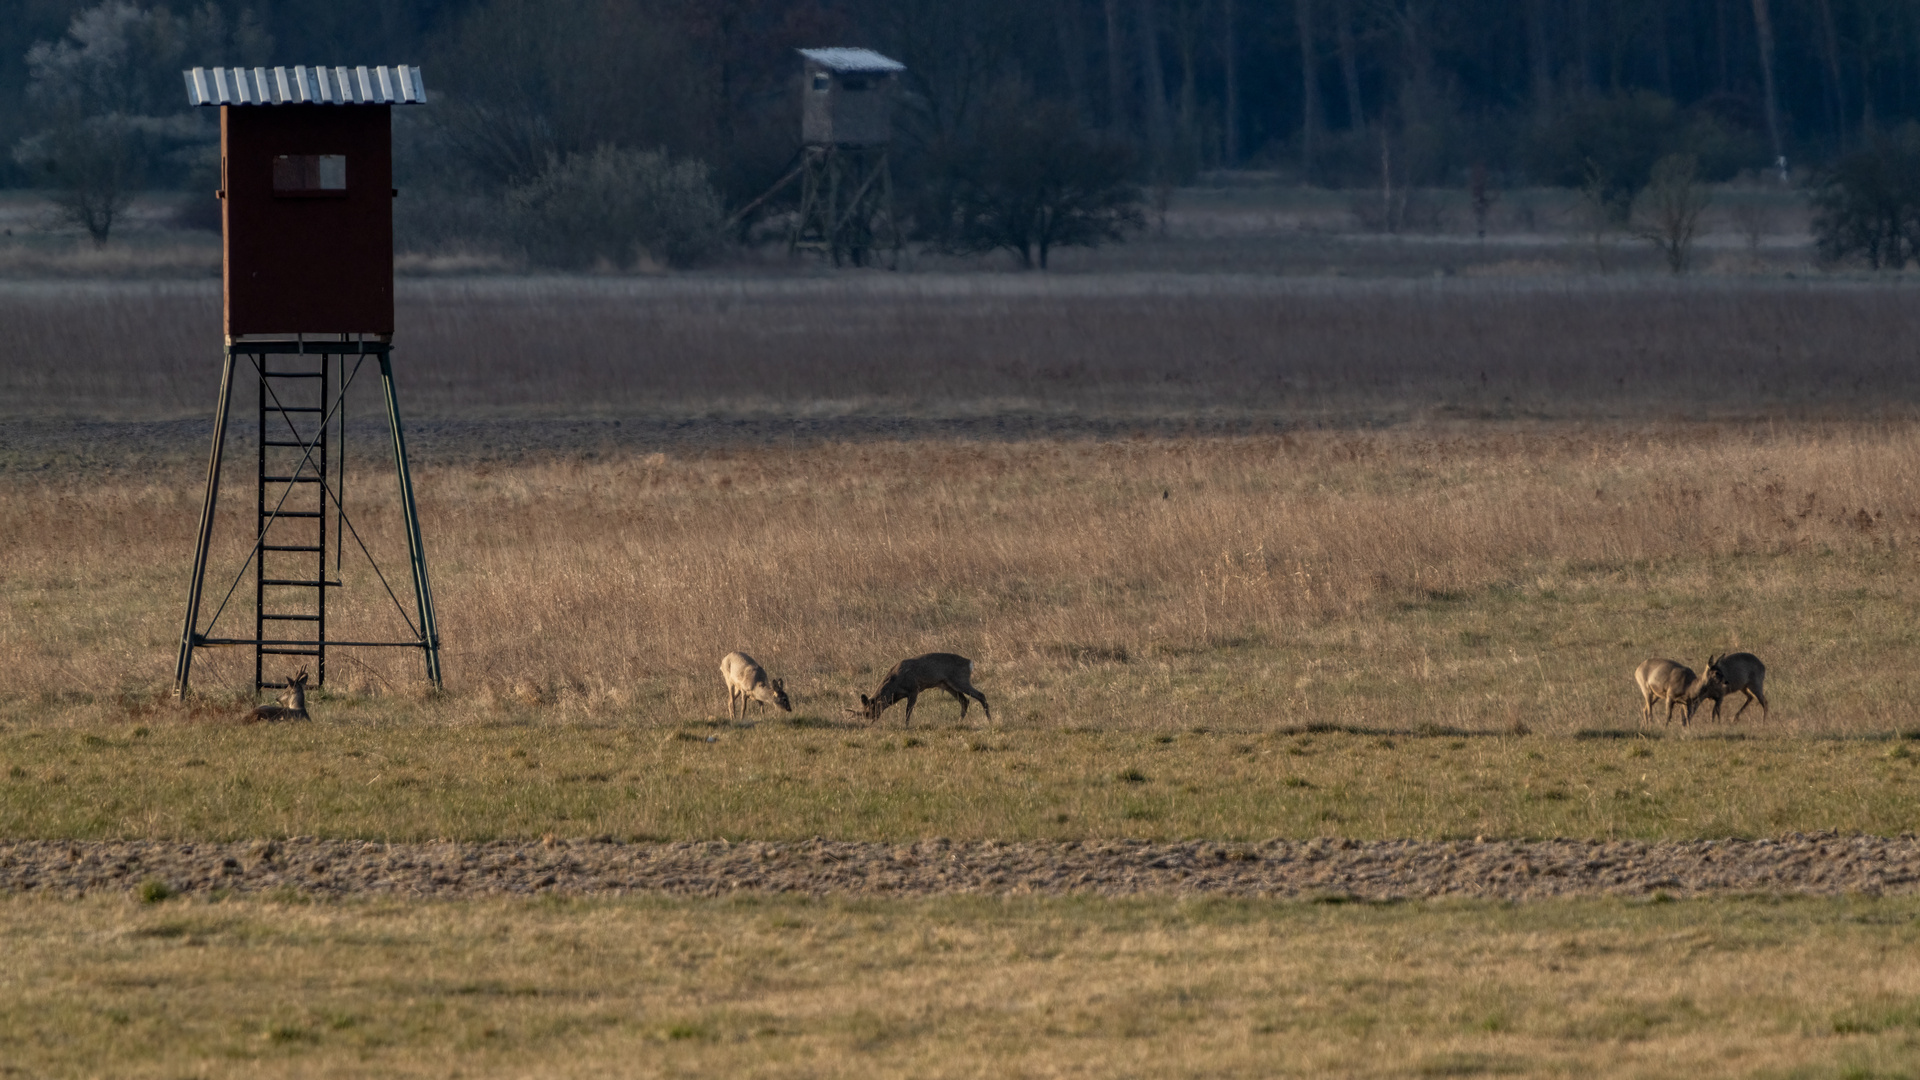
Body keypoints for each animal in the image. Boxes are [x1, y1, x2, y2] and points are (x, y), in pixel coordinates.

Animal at [856, 645, 990, 722]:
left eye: (868, 711)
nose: (870, 720)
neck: (895, 684)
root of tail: (970, 663)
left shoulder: (914, 688)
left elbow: (908, 710)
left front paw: (906, 726)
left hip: (960, 680)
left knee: (980, 695)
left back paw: (989, 720)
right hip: (948, 685)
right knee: (964, 701)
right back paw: (959, 723)